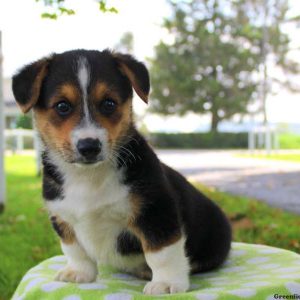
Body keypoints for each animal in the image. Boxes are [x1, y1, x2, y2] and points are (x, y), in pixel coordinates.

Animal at [11, 49, 231, 296]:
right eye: (62, 106)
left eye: (109, 103)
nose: (89, 146)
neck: (88, 176)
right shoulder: (62, 217)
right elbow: (75, 250)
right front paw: (78, 274)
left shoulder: (155, 211)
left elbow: (161, 253)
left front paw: (165, 283)